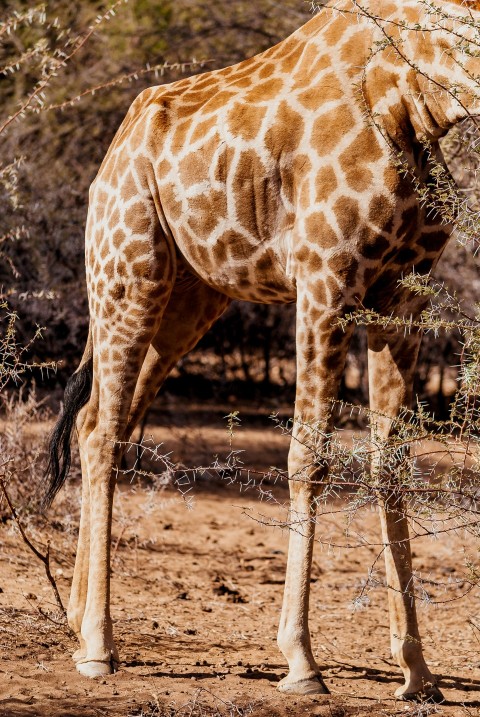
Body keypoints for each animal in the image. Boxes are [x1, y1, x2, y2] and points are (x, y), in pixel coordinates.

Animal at [43, 0, 478, 700]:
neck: (420, 94)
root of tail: (111, 155)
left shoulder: (403, 293)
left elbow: (391, 464)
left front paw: (417, 670)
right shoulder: (326, 279)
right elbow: (309, 456)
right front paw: (301, 660)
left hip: (189, 299)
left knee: (94, 422)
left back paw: (79, 622)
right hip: (127, 273)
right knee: (107, 431)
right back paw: (99, 648)